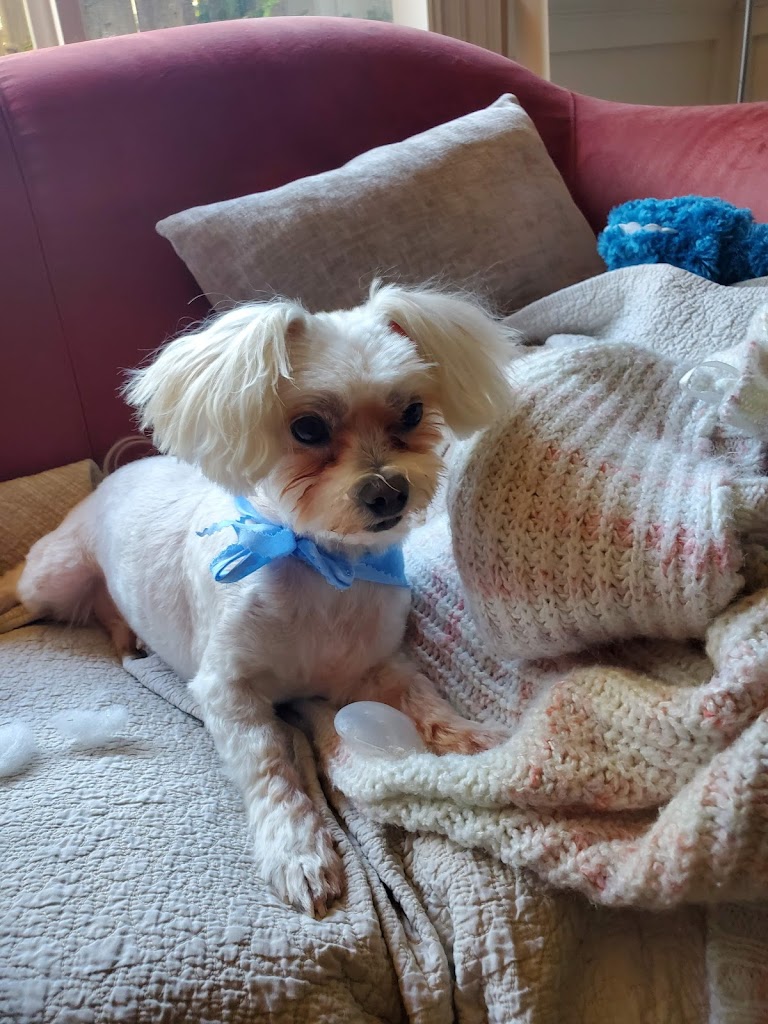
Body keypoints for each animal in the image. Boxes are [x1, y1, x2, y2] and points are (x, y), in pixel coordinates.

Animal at [0, 284, 517, 915]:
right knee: (37, 586)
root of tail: (116, 474)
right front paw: (296, 850)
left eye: (413, 413)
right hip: (54, 574)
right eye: (309, 428)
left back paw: (128, 631)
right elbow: (271, 765)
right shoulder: (227, 691)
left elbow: (423, 698)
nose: (388, 491)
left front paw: (473, 738)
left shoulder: (376, 666)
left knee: (103, 608)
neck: (324, 568)